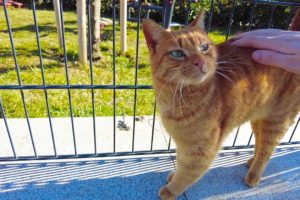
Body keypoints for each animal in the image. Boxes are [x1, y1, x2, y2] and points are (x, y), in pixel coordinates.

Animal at [142, 9, 300, 200]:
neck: (176, 98)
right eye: (177, 54)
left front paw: (171, 189)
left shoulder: (201, 149)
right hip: (258, 120)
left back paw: (254, 175)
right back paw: (251, 161)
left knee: (267, 150)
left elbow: (186, 173)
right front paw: (173, 176)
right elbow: (180, 162)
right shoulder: (183, 143)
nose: (200, 62)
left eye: (203, 47)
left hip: (276, 121)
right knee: (259, 142)